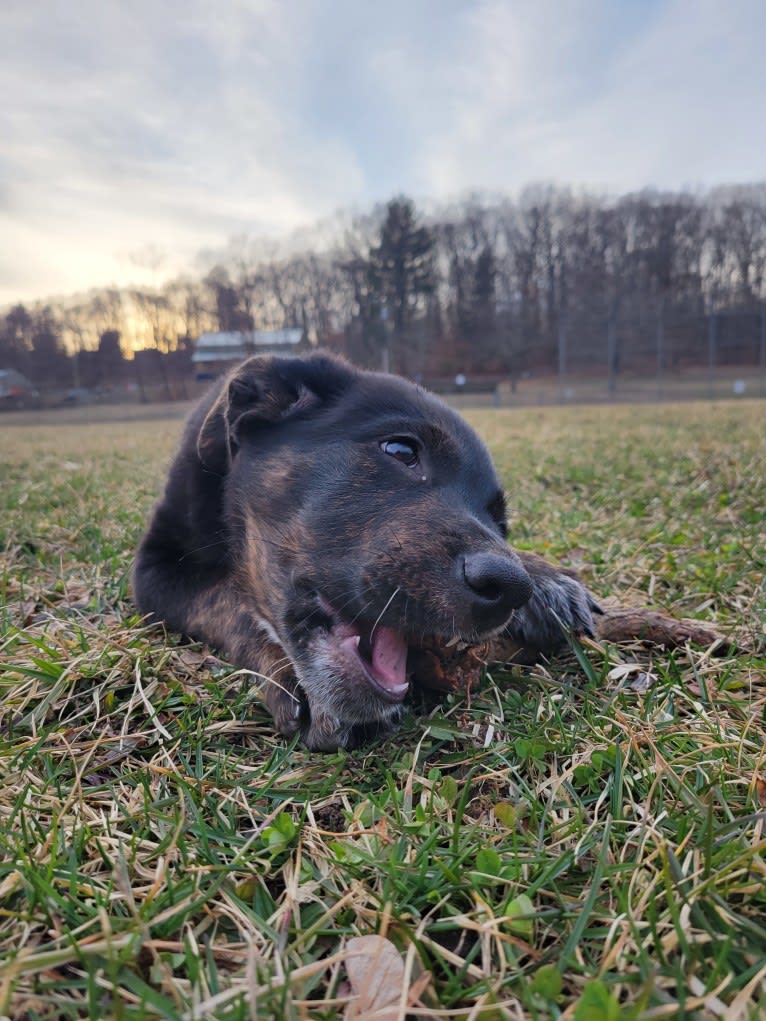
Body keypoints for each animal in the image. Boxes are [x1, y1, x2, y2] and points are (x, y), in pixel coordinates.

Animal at [133, 357, 600, 751]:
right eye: (400, 450)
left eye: (500, 521)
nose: (510, 587)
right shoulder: (155, 572)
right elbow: (232, 605)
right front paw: (285, 673)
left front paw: (546, 577)